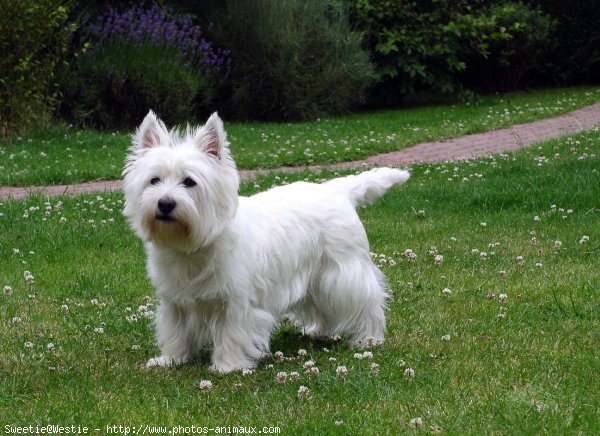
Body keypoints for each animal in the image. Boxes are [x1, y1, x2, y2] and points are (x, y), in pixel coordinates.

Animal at [124, 111, 410, 372]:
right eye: (154, 180)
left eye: (189, 181)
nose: (165, 203)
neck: (191, 248)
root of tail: (337, 190)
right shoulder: (174, 300)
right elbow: (175, 331)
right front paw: (171, 359)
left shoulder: (236, 301)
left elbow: (232, 333)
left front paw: (227, 366)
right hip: (316, 279)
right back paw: (319, 331)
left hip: (343, 273)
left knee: (368, 301)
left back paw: (369, 339)